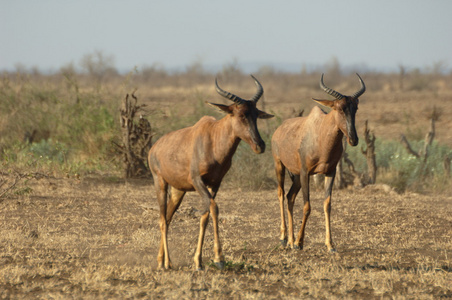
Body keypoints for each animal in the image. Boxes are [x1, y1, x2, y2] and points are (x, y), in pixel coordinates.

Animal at [150, 74, 274, 270]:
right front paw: (219, 259)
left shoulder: (215, 183)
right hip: (160, 182)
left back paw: (162, 260)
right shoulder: (197, 181)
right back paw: (166, 264)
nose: (260, 145)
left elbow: (205, 216)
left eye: (256, 115)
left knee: (168, 218)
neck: (213, 138)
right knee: (162, 219)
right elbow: (214, 208)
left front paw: (198, 261)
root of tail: (154, 147)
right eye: (240, 114)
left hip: (178, 190)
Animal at [272, 74, 364, 252]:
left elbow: (327, 205)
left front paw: (330, 245)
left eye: (355, 108)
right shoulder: (305, 172)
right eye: (339, 108)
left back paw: (291, 241)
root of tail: (278, 129)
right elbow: (307, 206)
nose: (353, 139)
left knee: (290, 197)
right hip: (280, 165)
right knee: (280, 194)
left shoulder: (330, 172)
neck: (320, 133)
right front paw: (300, 243)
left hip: (295, 176)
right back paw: (284, 238)